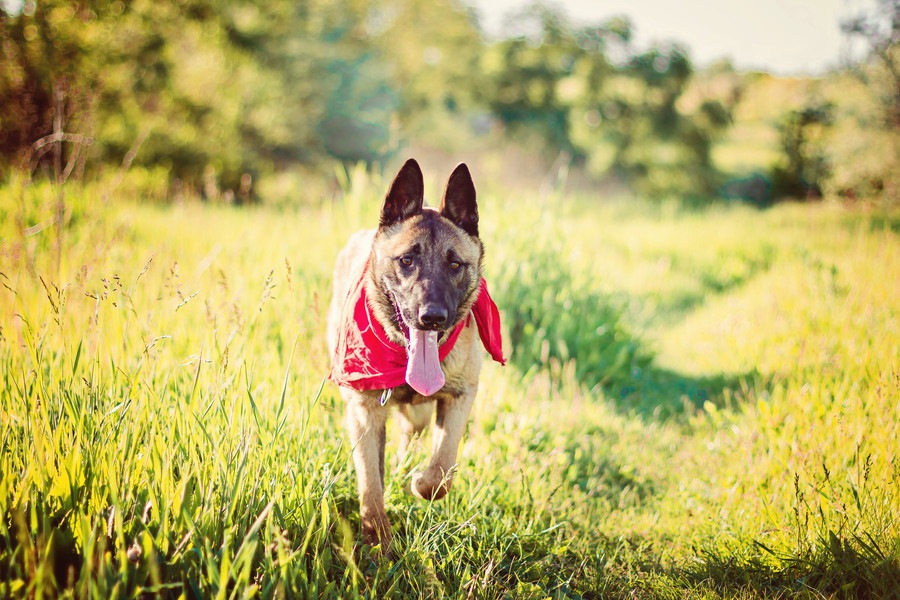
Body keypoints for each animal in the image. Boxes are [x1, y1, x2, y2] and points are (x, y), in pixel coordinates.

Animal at [326, 158, 506, 548]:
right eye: (407, 260)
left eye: (455, 265)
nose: (432, 317)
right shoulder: (363, 411)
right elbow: (370, 483)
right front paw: (378, 537)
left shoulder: (459, 396)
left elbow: (442, 467)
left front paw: (420, 483)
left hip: (422, 412)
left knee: (412, 435)